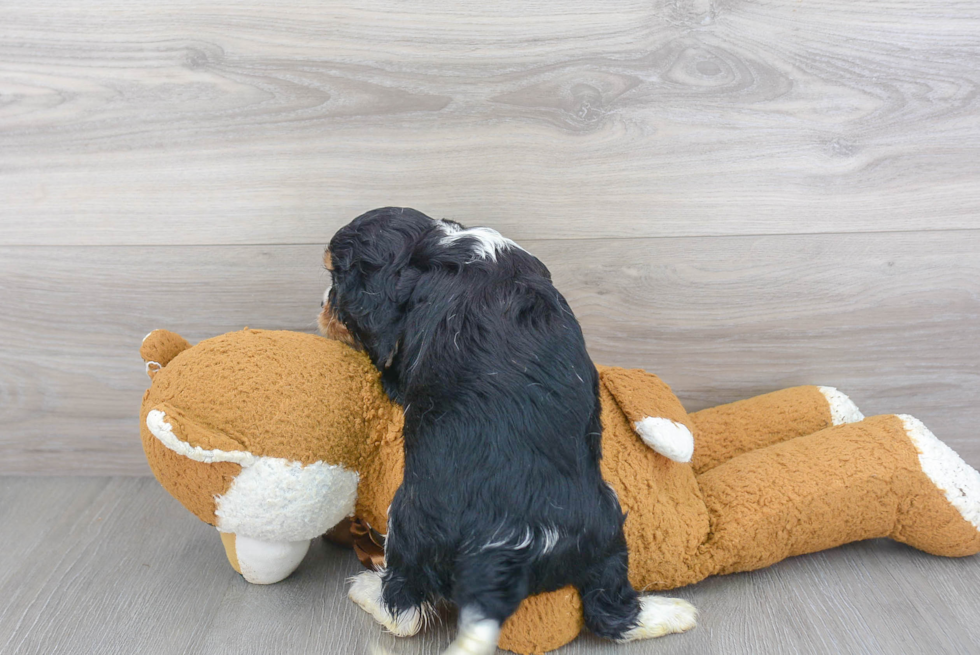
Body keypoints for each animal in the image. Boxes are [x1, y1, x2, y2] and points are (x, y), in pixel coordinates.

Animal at [322, 209, 696, 655]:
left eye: (334, 280)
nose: (322, 304)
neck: (434, 244)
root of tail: (504, 554)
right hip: (606, 527)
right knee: (612, 610)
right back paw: (671, 614)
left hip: (411, 523)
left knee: (405, 611)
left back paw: (365, 590)